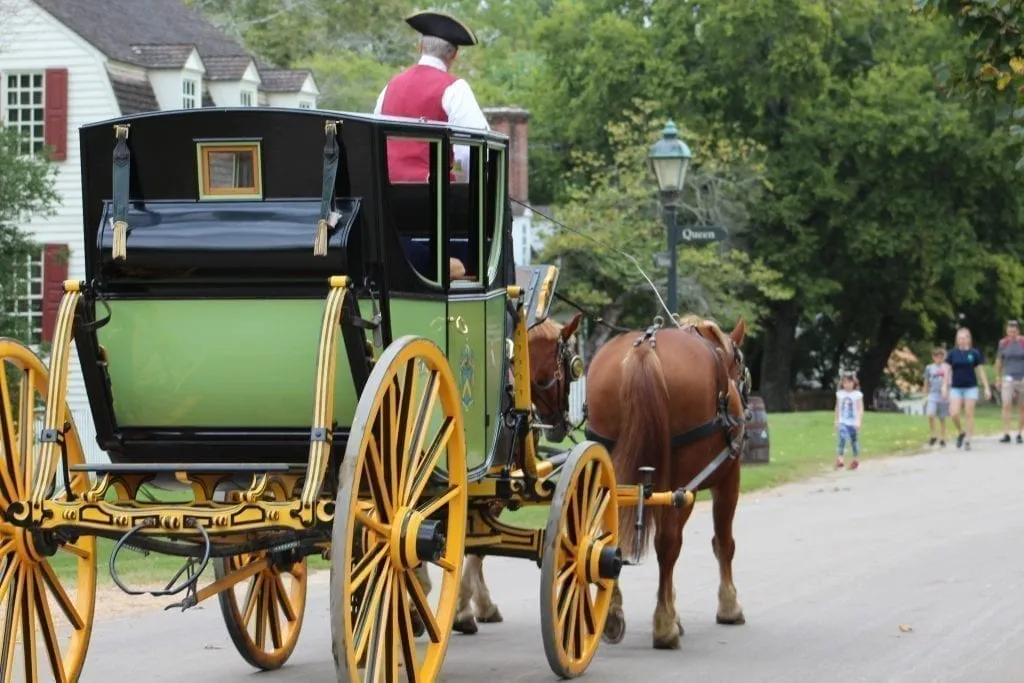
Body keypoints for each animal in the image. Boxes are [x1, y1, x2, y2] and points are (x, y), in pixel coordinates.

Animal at [585, 317, 753, 651]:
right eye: (739, 363)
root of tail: (644, 349)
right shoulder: (728, 479)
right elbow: (723, 543)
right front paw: (728, 606)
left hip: (612, 465)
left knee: (610, 537)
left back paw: (613, 615)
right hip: (682, 482)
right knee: (668, 543)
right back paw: (664, 626)